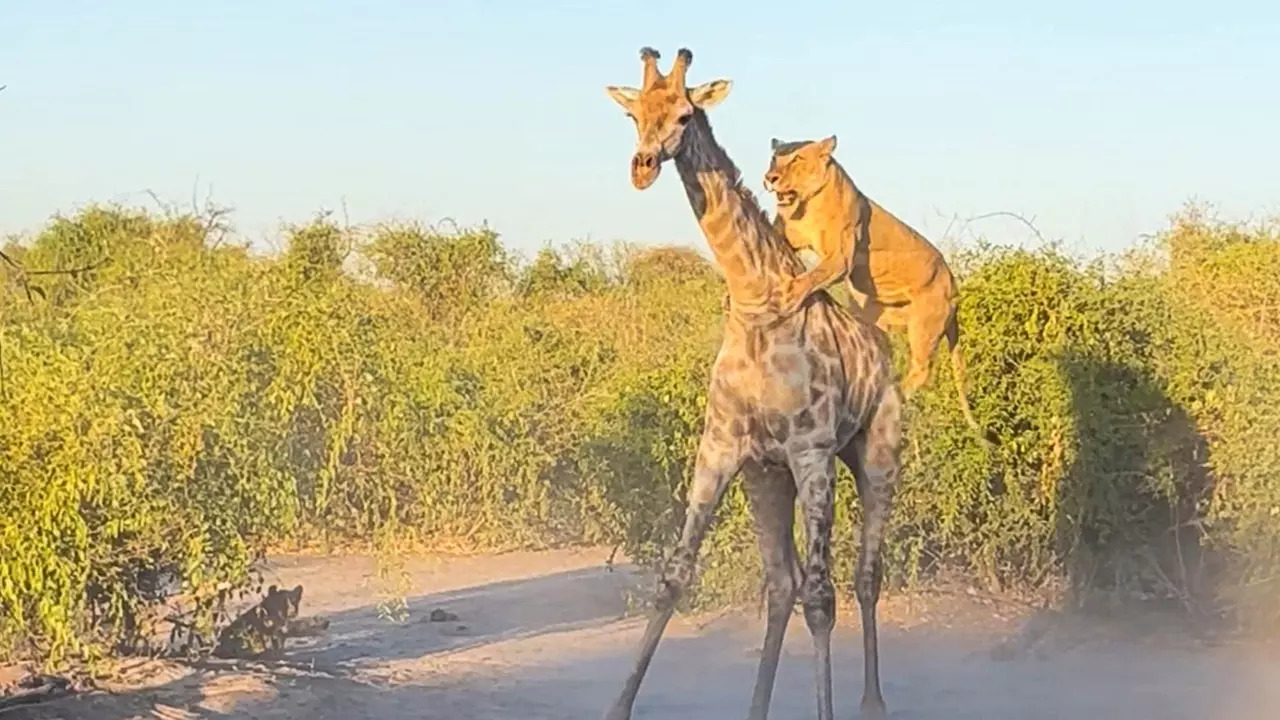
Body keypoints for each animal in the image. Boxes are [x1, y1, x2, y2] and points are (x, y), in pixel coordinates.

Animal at [604, 47, 906, 712]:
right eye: (633, 114)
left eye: (685, 114)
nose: (642, 167)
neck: (756, 302)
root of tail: (885, 352)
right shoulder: (721, 448)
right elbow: (674, 577)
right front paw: (617, 704)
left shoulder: (812, 452)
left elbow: (823, 600)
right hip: (766, 479)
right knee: (781, 582)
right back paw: (757, 706)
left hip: (875, 457)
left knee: (863, 576)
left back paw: (872, 702)